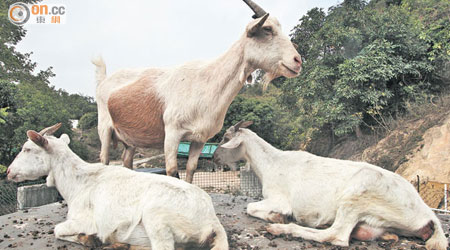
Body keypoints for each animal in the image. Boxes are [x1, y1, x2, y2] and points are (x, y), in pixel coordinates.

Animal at [7, 123, 229, 250]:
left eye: (27, 149)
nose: (9, 172)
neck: (79, 183)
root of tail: (211, 221)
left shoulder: (88, 221)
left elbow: (58, 229)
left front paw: (91, 239)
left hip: (156, 218)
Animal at [92, 0, 300, 184]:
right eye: (267, 29)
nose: (297, 61)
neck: (205, 82)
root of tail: (103, 81)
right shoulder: (172, 132)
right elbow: (172, 171)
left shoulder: (200, 139)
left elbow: (191, 170)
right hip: (104, 127)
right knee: (104, 160)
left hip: (129, 140)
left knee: (127, 163)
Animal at [213, 120, 448, 249]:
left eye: (225, 138)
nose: (214, 157)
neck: (270, 162)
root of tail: (427, 214)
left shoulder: (279, 199)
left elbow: (251, 207)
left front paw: (277, 217)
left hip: (358, 193)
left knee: (337, 235)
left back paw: (281, 228)